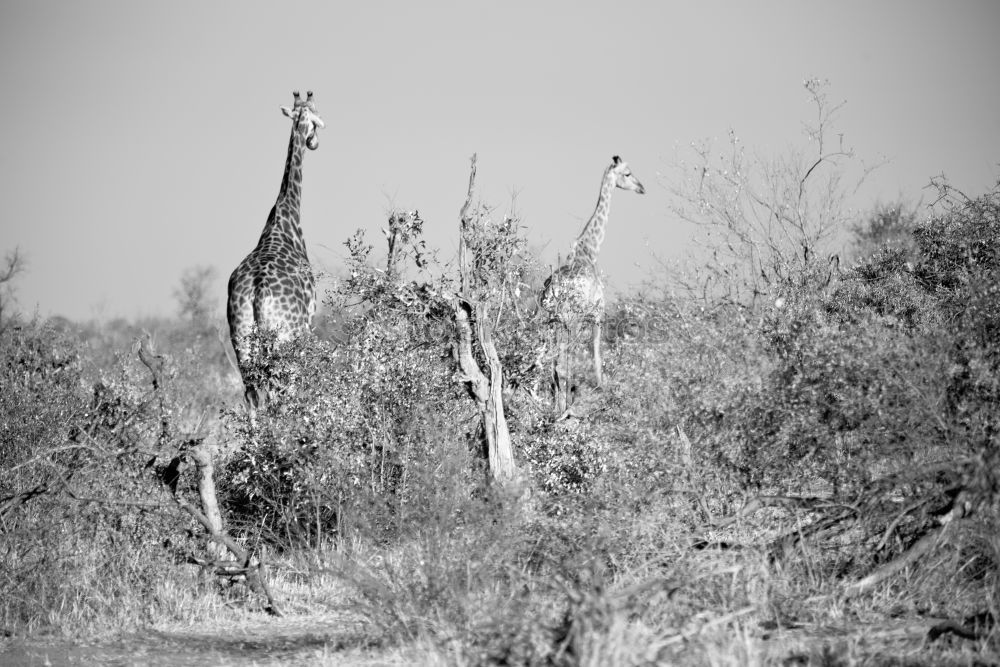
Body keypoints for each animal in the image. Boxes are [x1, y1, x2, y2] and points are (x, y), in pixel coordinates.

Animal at [227, 88, 324, 412]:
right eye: (316, 118)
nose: (314, 142)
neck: (286, 214)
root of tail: (257, 292)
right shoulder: (310, 323)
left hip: (241, 336)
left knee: (252, 396)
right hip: (286, 338)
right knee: (283, 393)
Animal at [544, 157, 644, 414]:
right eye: (627, 173)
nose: (642, 188)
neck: (590, 250)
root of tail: (553, 291)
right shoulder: (598, 313)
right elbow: (597, 353)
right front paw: (602, 389)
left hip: (552, 321)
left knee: (554, 362)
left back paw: (556, 408)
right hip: (571, 319)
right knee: (564, 361)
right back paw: (565, 408)